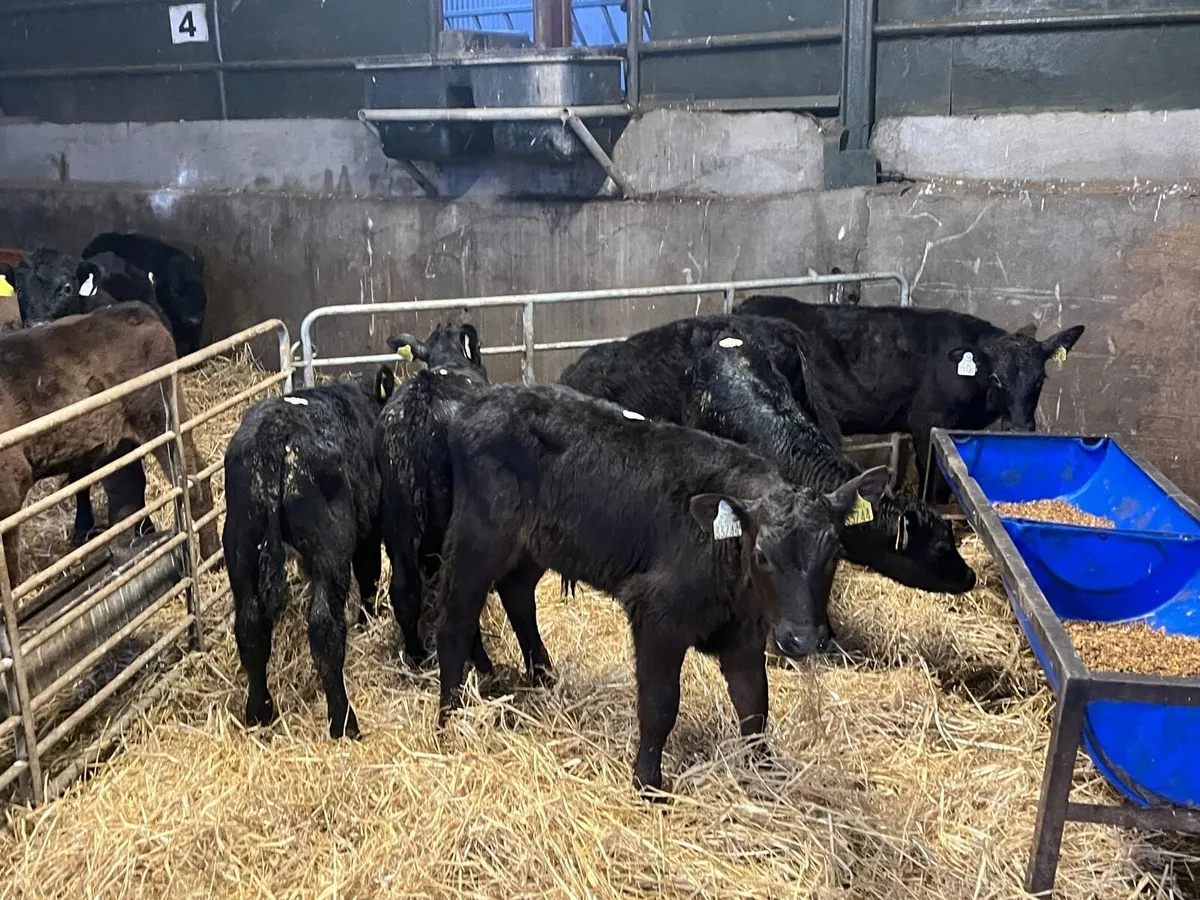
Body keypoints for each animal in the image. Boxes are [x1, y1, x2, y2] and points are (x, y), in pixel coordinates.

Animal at [0, 302, 218, 587]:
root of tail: (132, 309)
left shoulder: (10, 484)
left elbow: (9, 569)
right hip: (121, 444)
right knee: (127, 498)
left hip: (161, 419)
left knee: (193, 479)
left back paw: (212, 558)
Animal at [223, 366, 397, 739]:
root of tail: (273, 435)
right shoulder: (369, 527)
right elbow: (370, 572)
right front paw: (368, 618)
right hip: (330, 549)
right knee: (324, 627)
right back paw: (344, 722)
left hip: (240, 547)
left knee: (250, 627)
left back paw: (259, 713)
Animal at [433, 382, 888, 794]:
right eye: (762, 556)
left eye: (835, 553)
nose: (802, 640)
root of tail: (476, 402)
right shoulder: (656, 614)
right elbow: (660, 704)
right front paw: (648, 783)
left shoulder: (743, 631)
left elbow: (755, 704)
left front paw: (764, 773)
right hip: (478, 534)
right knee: (455, 621)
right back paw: (447, 721)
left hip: (535, 545)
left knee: (516, 594)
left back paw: (543, 676)